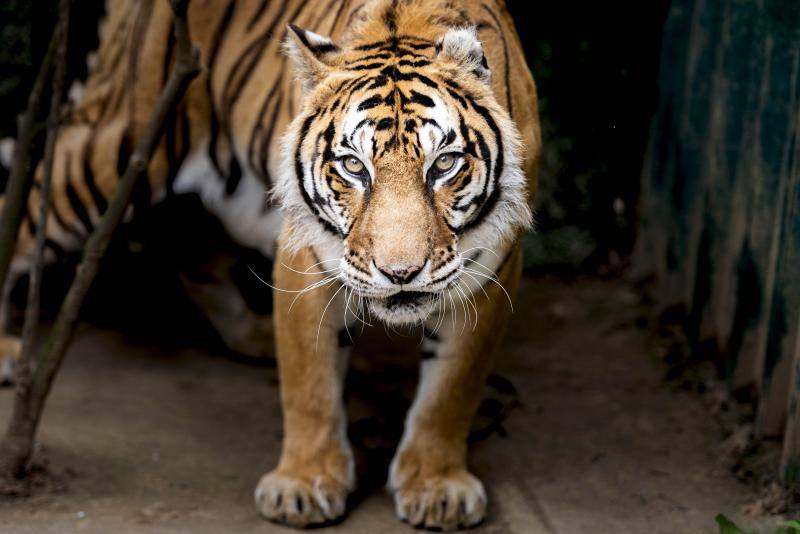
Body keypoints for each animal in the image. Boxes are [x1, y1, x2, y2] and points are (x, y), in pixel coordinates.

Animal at [1, 0, 536, 528]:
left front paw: (435, 486)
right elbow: (309, 382)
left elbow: (451, 389)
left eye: (443, 164)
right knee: (27, 206)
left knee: (191, 246)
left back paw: (254, 334)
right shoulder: (305, 258)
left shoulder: (491, 267)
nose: (400, 273)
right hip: (119, 152)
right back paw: (8, 349)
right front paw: (303, 485)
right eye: (354, 166)